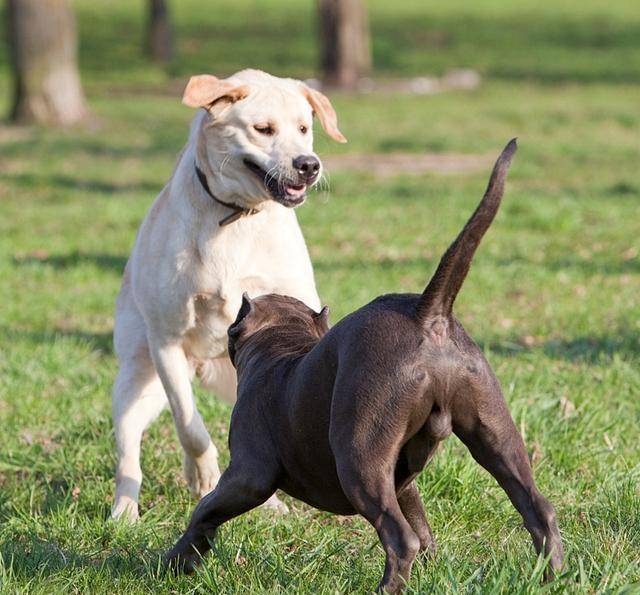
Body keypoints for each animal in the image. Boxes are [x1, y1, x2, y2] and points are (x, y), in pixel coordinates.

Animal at [166, 140, 564, 592]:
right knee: (538, 510)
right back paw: (550, 577)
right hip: (494, 435)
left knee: (399, 537)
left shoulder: (248, 474)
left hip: (358, 457)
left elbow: (205, 508)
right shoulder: (403, 482)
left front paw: (178, 560)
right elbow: (423, 525)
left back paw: (388, 587)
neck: (280, 345)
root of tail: (429, 314)